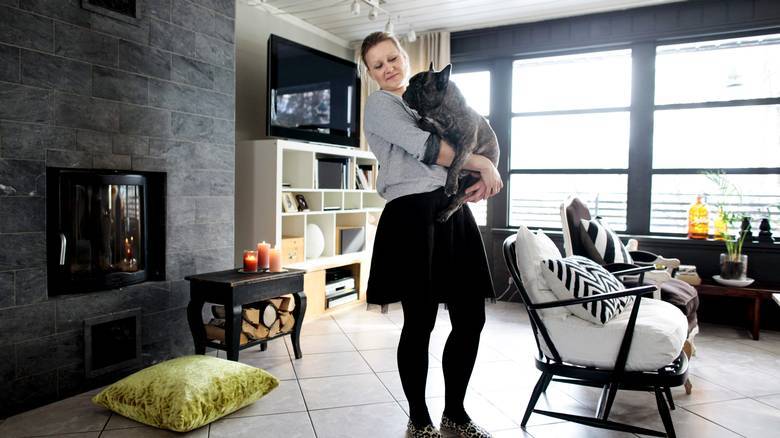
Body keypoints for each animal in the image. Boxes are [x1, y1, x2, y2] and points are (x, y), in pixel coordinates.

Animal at [402, 63, 500, 222]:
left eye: (417, 85)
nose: (405, 89)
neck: (443, 113)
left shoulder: (465, 146)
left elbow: (455, 164)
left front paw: (450, 185)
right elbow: (427, 124)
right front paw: (424, 122)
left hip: (469, 185)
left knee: (457, 201)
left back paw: (445, 213)